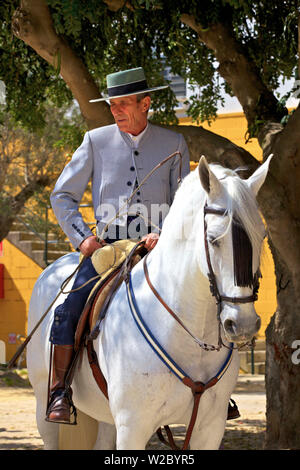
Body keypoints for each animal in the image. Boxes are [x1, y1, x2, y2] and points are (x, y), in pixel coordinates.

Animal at [25, 156, 270, 450]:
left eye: (261, 237)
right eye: (213, 239)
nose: (243, 324)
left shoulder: (210, 429)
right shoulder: (133, 427)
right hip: (44, 404)